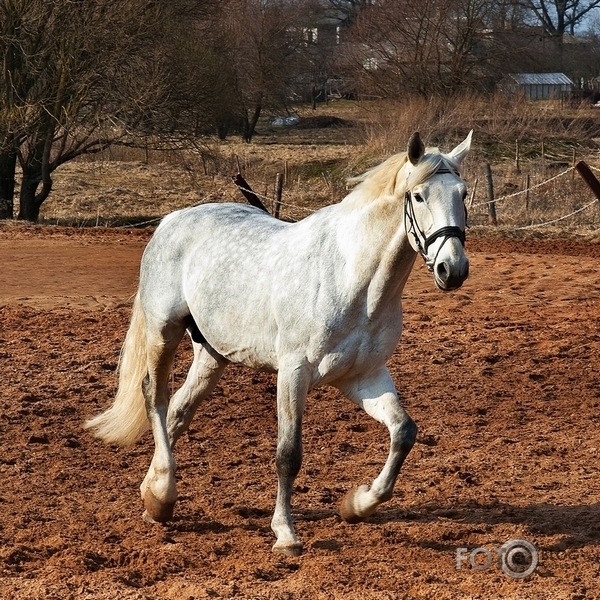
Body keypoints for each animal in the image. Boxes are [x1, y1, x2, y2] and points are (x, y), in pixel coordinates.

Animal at [85, 131, 474, 556]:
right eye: (418, 195)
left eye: (463, 194)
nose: (452, 269)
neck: (353, 280)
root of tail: (172, 221)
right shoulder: (294, 372)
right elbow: (288, 455)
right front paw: (286, 533)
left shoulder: (363, 377)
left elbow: (403, 432)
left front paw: (357, 505)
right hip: (163, 332)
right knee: (154, 397)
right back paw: (163, 496)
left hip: (212, 354)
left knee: (178, 412)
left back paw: (152, 494)